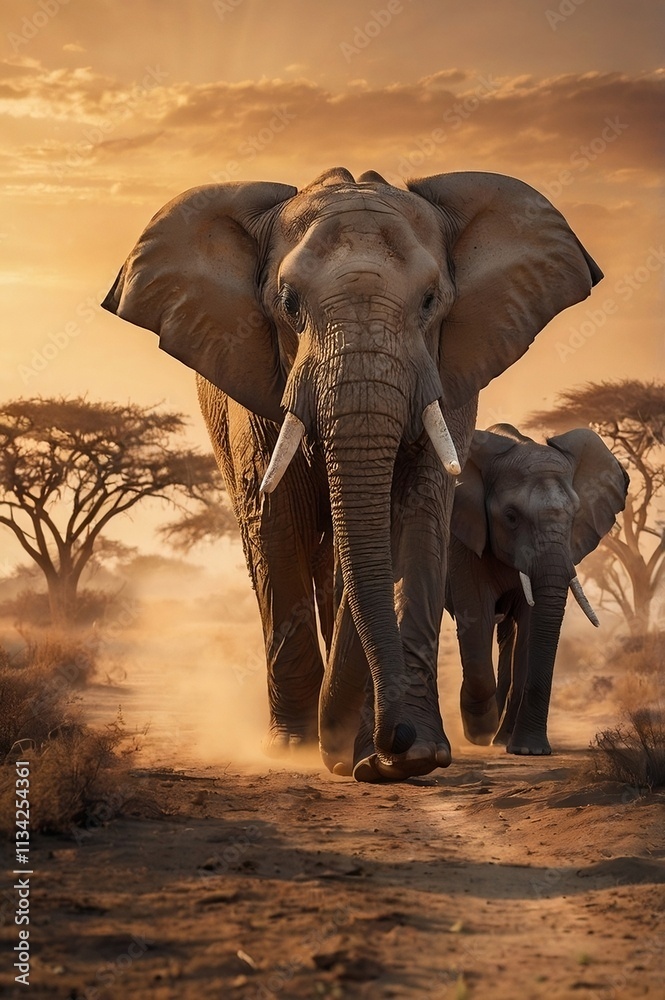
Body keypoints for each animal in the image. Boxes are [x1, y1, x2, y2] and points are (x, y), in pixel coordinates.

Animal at [102, 166, 603, 782]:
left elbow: (414, 512)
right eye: (288, 303)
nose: (393, 739)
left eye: (431, 301)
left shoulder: (448, 377)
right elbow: (278, 522)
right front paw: (304, 750)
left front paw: (413, 757)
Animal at [447, 423, 628, 755]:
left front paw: (527, 750)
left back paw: (502, 739)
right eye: (511, 516)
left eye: (575, 516)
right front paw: (478, 731)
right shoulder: (463, 540)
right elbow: (476, 617)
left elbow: (531, 628)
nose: (532, 749)